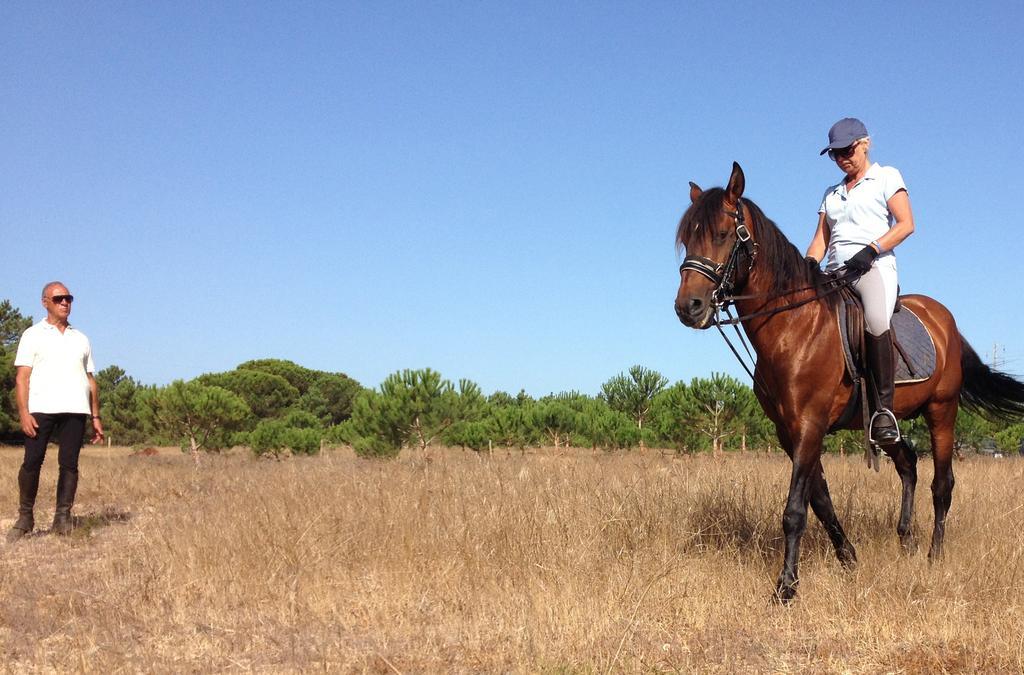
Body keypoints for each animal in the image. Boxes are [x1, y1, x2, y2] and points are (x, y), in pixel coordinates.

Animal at [671, 162, 1024, 602]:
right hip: (888, 424)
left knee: (942, 485)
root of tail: (945, 320)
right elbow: (820, 501)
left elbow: (795, 508)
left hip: (942, 411)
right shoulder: (789, 430)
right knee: (908, 464)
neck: (793, 325)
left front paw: (786, 586)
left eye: (722, 234)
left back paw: (933, 556)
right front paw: (849, 559)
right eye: (687, 239)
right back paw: (906, 541)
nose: (688, 307)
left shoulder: (810, 424)